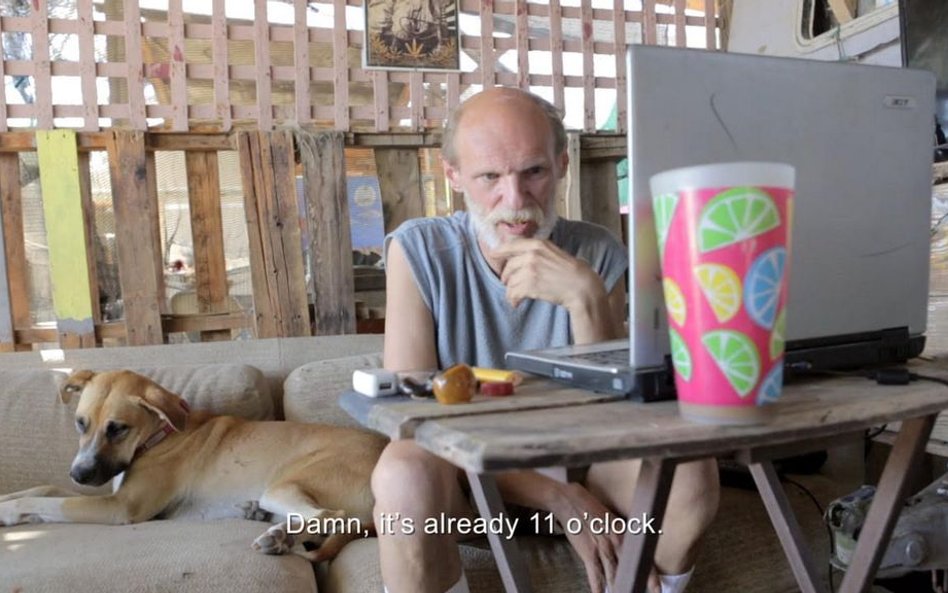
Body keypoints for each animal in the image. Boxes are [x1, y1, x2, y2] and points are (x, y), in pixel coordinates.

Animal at [0, 369, 388, 562]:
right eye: (80, 423)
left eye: (118, 428)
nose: (78, 474)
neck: (158, 435)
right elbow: (45, 490)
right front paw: (7, 501)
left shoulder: (119, 507)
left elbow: (50, 502)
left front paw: (10, 512)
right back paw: (262, 520)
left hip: (283, 486)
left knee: (328, 517)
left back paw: (279, 538)